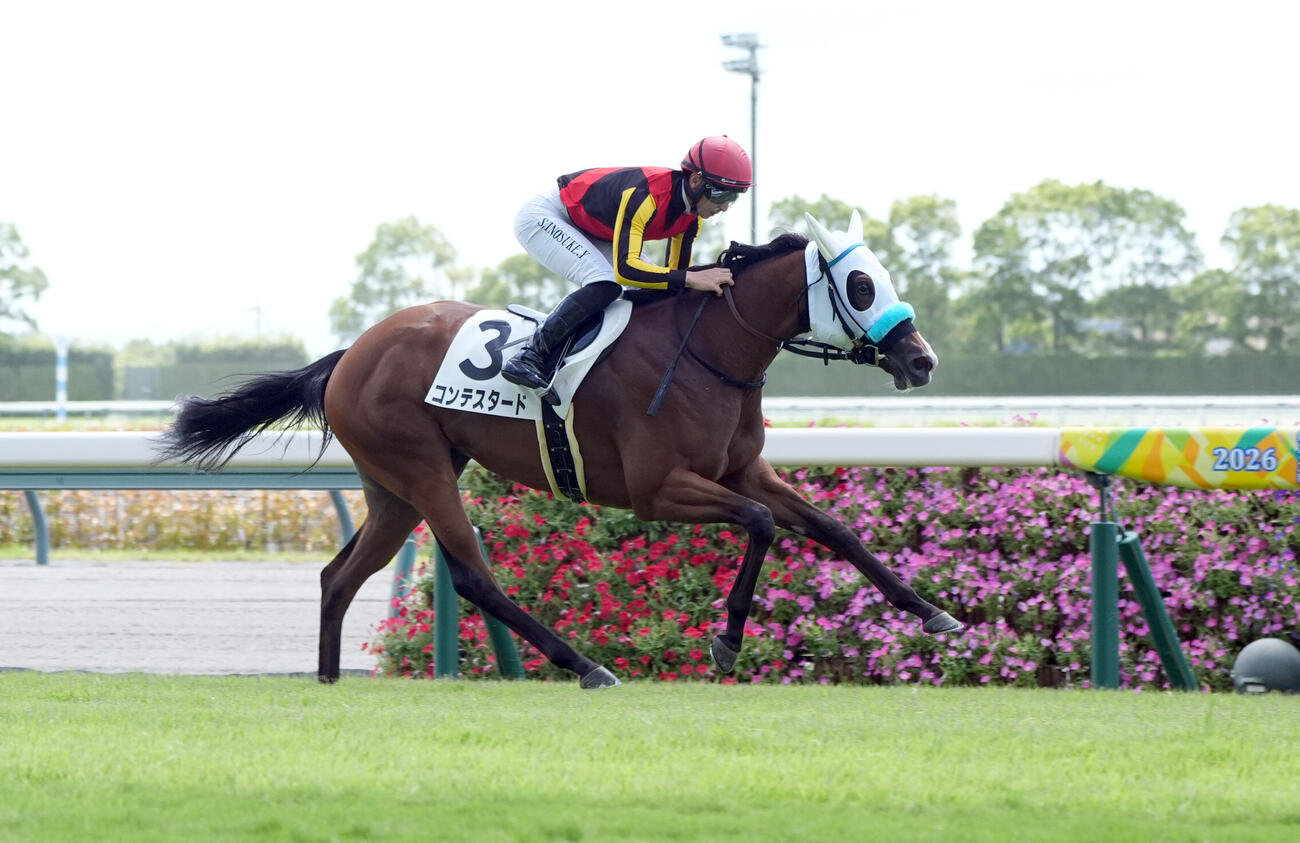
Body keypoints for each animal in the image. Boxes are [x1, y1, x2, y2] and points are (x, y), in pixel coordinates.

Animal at [158, 211, 965, 688]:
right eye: (860, 284)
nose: (922, 360)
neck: (707, 350)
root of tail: (350, 354)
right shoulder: (658, 490)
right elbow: (763, 526)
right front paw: (728, 640)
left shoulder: (744, 470)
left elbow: (830, 527)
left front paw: (932, 612)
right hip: (422, 470)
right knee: (474, 578)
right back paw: (585, 665)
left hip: (395, 486)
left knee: (339, 574)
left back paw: (327, 681)